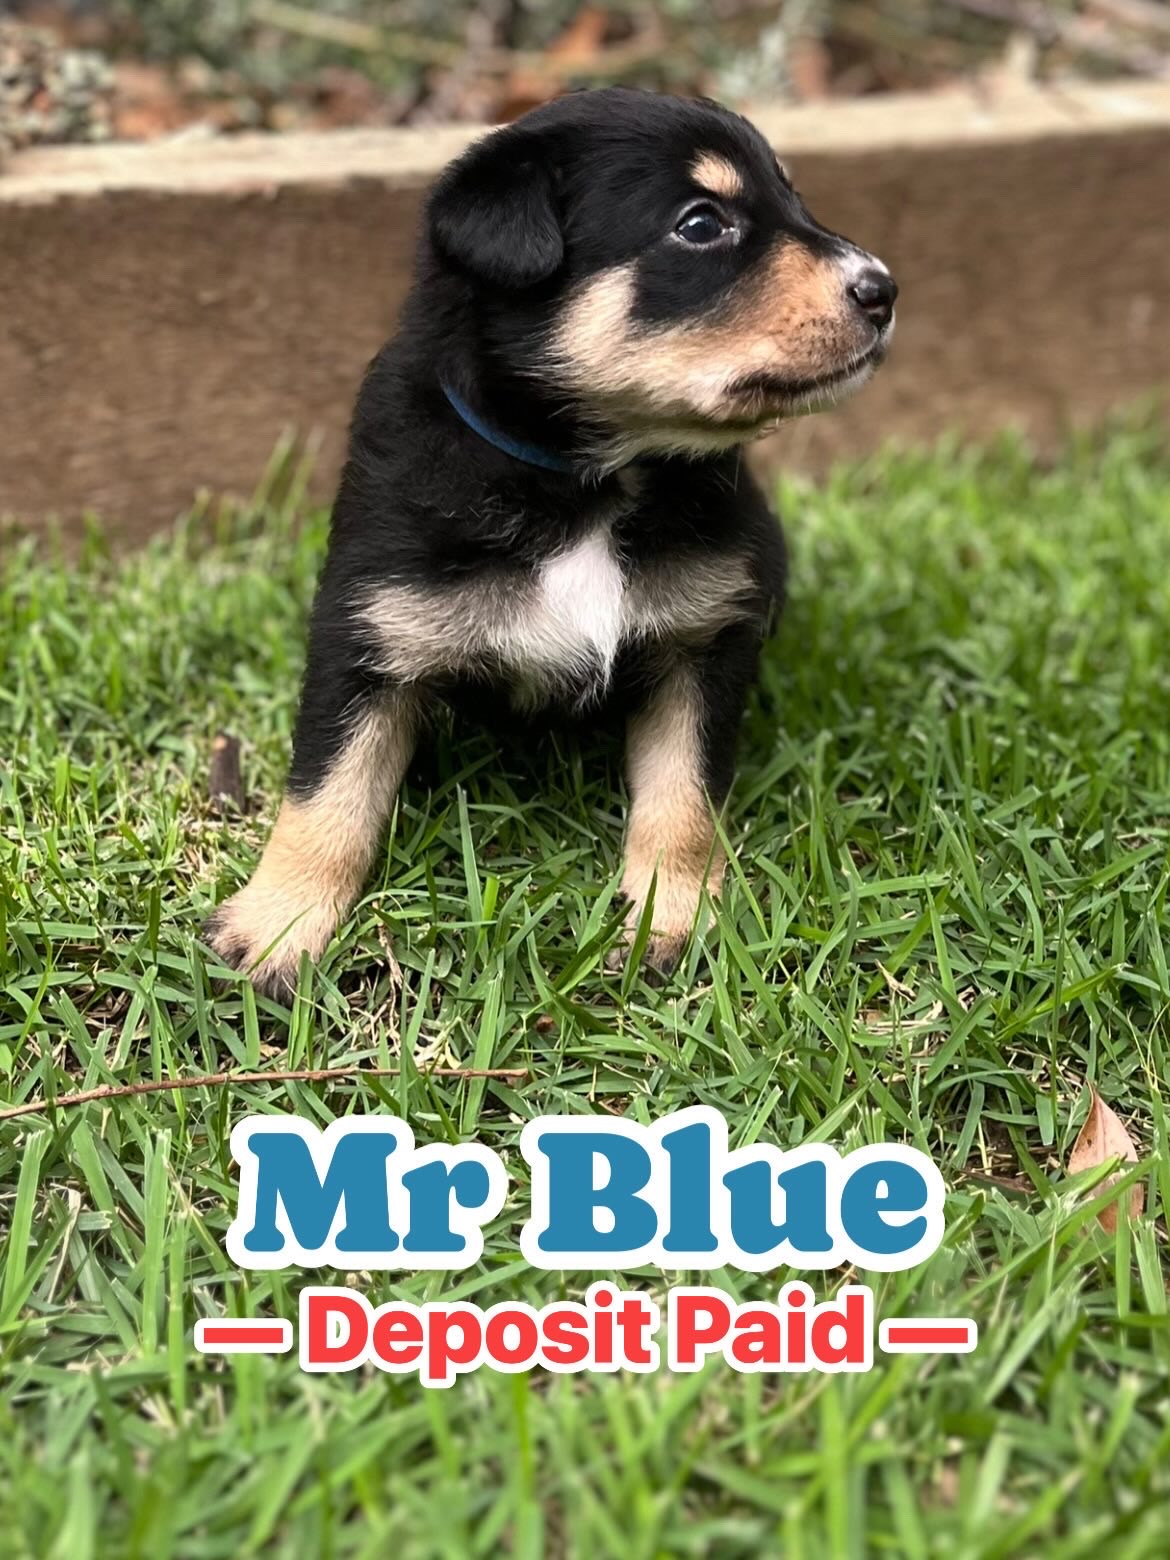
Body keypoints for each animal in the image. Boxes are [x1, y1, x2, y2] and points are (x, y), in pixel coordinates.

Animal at [206, 87, 896, 997]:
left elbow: (684, 797)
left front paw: (671, 919)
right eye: (701, 224)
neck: (588, 484)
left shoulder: (704, 639)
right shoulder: (367, 635)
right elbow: (326, 792)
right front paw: (276, 927)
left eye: (795, 199)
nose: (884, 290)